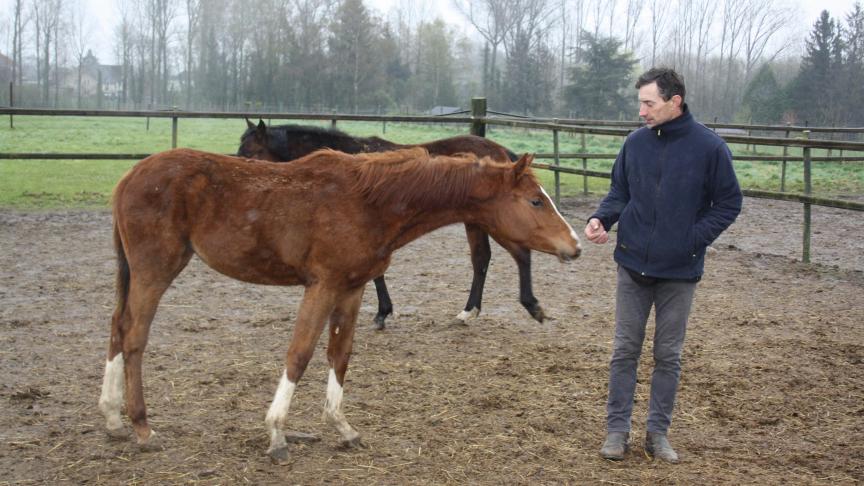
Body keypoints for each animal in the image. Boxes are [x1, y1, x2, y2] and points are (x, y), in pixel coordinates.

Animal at [99, 147, 581, 462]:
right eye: (535, 200)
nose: (575, 245)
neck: (371, 200)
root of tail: (127, 178)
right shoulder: (323, 284)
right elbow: (299, 354)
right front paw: (277, 434)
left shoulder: (352, 287)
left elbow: (339, 354)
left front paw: (342, 428)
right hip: (156, 269)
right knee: (135, 336)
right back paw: (142, 427)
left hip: (137, 273)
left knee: (117, 328)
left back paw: (113, 419)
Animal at [238, 119, 546, 330]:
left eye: (251, 152)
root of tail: (502, 153)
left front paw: (381, 313)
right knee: (482, 258)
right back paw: (470, 310)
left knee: (519, 253)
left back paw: (528, 304)